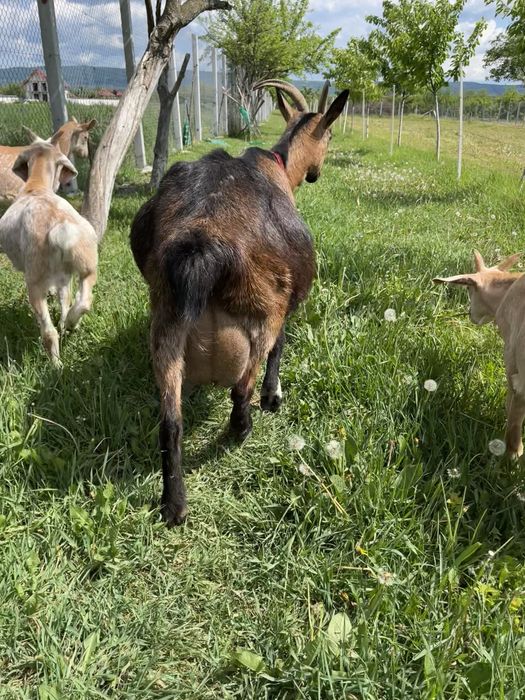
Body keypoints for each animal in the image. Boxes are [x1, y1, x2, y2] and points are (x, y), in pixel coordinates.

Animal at [0, 141, 98, 365]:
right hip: (88, 266)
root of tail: (60, 228)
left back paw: (56, 366)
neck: (36, 186)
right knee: (82, 302)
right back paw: (71, 323)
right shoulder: (63, 277)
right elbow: (64, 298)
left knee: (49, 332)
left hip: (35, 281)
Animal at [130, 79, 348, 526]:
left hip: (166, 323)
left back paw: (174, 505)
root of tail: (204, 244)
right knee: (241, 386)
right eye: (331, 135)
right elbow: (280, 349)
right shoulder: (287, 306)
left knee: (170, 421)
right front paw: (273, 396)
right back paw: (241, 429)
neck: (279, 163)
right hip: (264, 310)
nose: (316, 174)